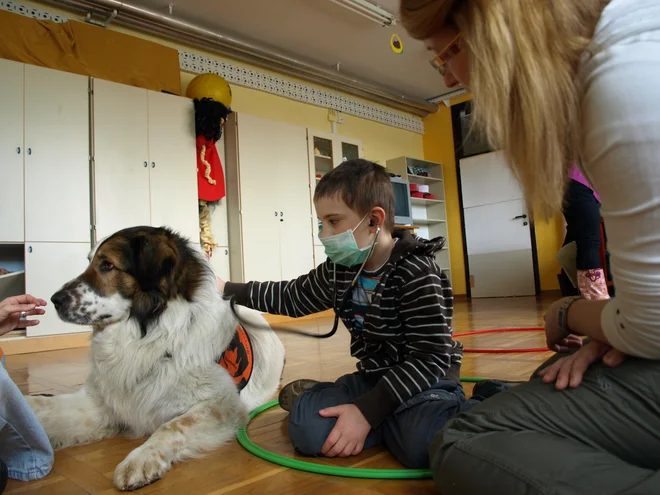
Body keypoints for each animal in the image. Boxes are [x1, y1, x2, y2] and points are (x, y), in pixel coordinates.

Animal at [23, 228, 284, 492]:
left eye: (107, 265)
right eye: (89, 261)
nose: (54, 300)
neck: (146, 336)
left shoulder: (221, 406)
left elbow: (171, 426)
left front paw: (140, 459)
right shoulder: (100, 403)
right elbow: (46, 406)